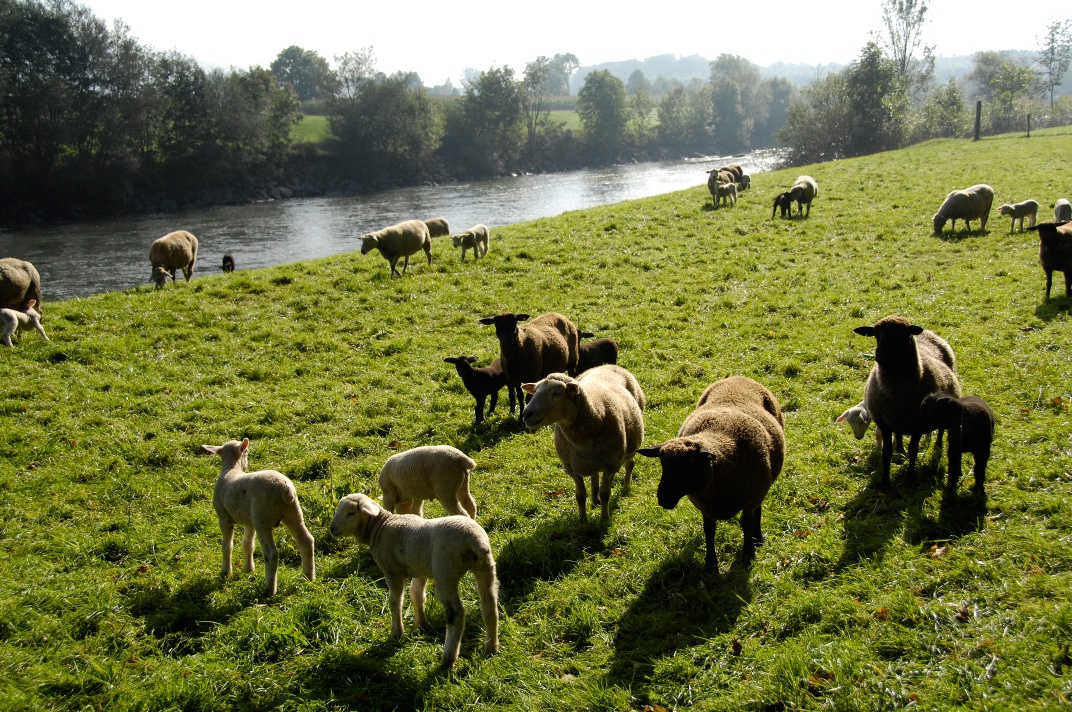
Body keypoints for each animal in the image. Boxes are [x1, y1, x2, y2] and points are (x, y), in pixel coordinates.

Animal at [201, 439, 315, 596]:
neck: (231, 469)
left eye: (246, 452)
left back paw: (269, 589)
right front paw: (248, 569)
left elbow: (227, 545)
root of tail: (286, 491)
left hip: (263, 518)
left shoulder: (224, 517)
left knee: (271, 554)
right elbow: (247, 544)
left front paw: (226, 571)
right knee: (306, 541)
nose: (247, 464)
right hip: (293, 512)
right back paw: (308, 576)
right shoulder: (249, 521)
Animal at [328, 493, 499, 669]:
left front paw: (397, 633)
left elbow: (395, 601)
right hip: (485, 568)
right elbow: (416, 593)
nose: (332, 529)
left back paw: (448, 658)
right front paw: (420, 625)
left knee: (456, 614)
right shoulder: (419, 568)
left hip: (445, 573)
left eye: (350, 513)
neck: (381, 527)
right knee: (489, 606)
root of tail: (475, 541)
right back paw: (491, 648)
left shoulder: (392, 571)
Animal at [518, 364, 643, 521]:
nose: (526, 414)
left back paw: (626, 487)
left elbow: (605, 493)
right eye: (535, 391)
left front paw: (604, 518)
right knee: (595, 474)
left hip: (630, 448)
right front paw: (583, 520)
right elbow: (580, 495)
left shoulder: (612, 464)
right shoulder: (571, 467)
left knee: (629, 464)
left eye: (558, 392)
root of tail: (608, 365)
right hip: (590, 461)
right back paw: (595, 499)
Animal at [630, 377, 784, 574]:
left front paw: (748, 553)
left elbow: (746, 524)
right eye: (663, 463)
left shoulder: (750, 499)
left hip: (761, 489)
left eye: (691, 463)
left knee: (758, 509)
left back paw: (758, 538)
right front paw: (711, 563)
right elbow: (709, 530)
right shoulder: (706, 507)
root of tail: (738, 376)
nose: (663, 499)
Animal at [853, 317, 964, 488]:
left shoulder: (918, 424)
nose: (881, 355)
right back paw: (899, 448)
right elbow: (886, 452)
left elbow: (913, 450)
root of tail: (928, 332)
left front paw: (910, 478)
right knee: (898, 434)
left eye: (903, 333)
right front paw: (885, 482)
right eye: (876, 333)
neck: (897, 392)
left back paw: (938, 445)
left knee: (940, 429)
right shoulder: (884, 423)